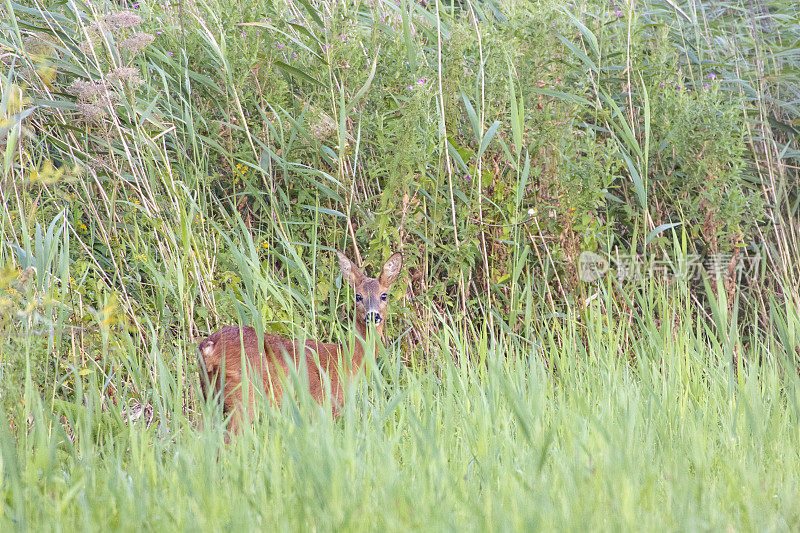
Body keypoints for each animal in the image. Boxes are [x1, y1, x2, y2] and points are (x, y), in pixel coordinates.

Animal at [197, 250, 404, 432]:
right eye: (358, 296)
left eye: (384, 295)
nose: (373, 316)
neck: (348, 359)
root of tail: (209, 347)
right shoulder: (323, 407)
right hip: (243, 397)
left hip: (209, 396)